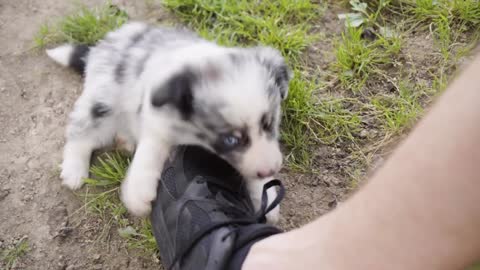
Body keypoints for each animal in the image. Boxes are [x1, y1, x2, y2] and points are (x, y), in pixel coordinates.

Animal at [47, 22, 290, 223]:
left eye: (269, 124)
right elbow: (149, 153)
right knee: (81, 133)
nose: (271, 169)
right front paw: (138, 195)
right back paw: (74, 170)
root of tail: (98, 49)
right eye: (230, 139)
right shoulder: (156, 121)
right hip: (102, 103)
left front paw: (266, 195)